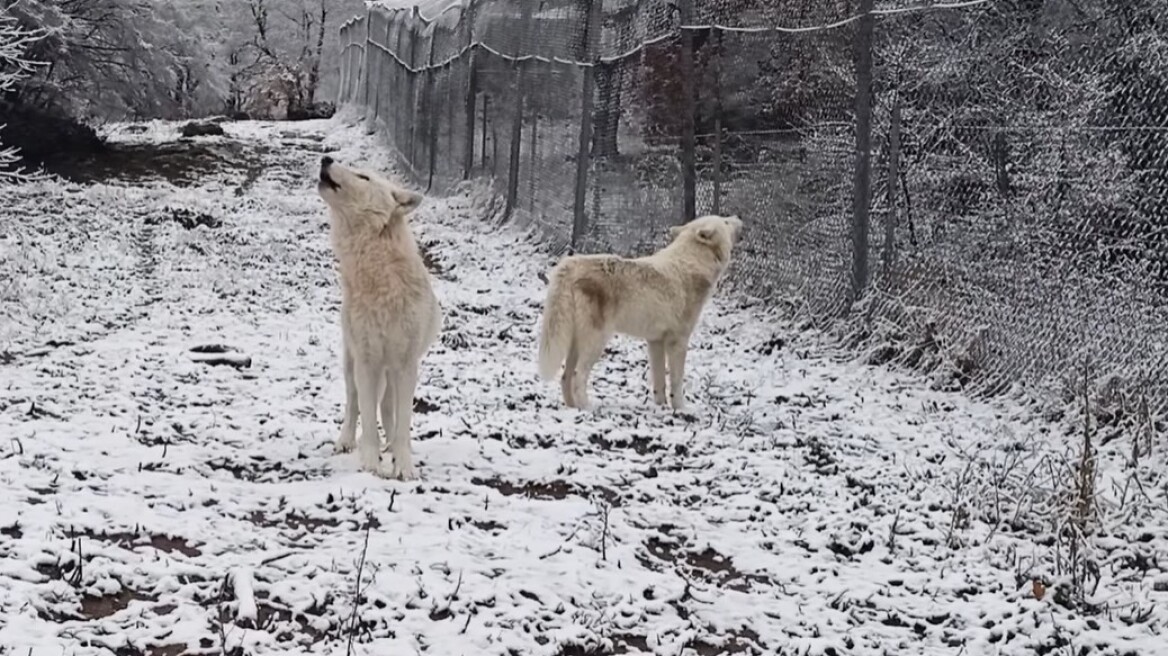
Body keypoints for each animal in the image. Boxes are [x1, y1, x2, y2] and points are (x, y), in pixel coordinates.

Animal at [317, 155, 439, 478]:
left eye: (364, 177)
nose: (326, 157)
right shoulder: (367, 360)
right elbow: (368, 416)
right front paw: (371, 463)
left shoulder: (406, 365)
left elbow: (402, 421)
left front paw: (403, 465)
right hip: (352, 363)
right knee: (353, 403)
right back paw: (347, 441)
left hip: (392, 370)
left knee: (388, 407)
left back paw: (393, 446)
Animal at [534, 213, 742, 408]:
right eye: (725, 221)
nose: (737, 218)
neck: (693, 264)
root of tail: (570, 264)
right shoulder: (678, 341)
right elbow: (676, 383)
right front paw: (681, 410)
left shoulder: (655, 341)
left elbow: (659, 383)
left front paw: (661, 407)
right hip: (596, 342)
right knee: (578, 376)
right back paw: (587, 408)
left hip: (577, 343)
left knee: (565, 377)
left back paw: (572, 407)